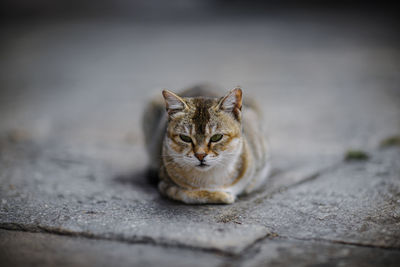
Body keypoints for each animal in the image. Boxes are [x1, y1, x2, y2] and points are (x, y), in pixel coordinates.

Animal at [142, 86, 270, 205]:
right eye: (185, 138)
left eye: (216, 137)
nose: (200, 155)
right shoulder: (165, 185)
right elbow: (190, 194)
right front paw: (221, 195)